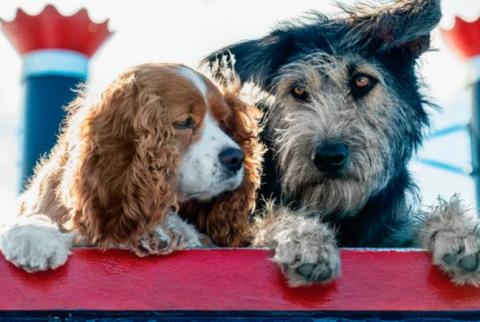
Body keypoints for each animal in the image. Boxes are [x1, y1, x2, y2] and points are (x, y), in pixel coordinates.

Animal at [207, 0, 480, 286]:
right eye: (298, 90)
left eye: (362, 81)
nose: (328, 156)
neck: (335, 208)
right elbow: (269, 217)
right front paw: (304, 238)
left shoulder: (386, 233)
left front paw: (457, 231)